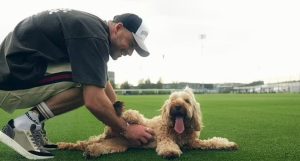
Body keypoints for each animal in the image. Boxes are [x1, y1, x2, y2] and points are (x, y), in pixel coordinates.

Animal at [58, 87, 237, 158]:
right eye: (173, 100)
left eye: (187, 101)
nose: (177, 107)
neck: (179, 131)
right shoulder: (165, 138)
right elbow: (168, 145)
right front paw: (171, 152)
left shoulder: (193, 142)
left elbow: (213, 142)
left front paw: (227, 144)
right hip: (131, 120)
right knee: (125, 118)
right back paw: (118, 108)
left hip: (116, 145)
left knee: (96, 145)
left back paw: (90, 151)